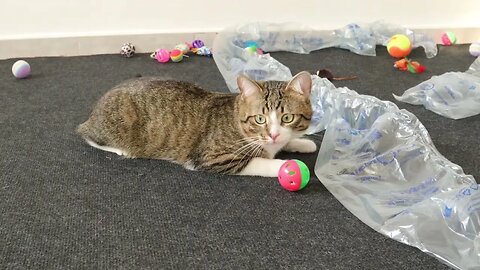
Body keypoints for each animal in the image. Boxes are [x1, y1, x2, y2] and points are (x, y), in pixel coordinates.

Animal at [77, 71, 316, 177]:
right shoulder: (214, 158)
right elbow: (259, 161)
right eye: (260, 119)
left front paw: (302, 142)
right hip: (117, 124)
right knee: (88, 136)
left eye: (287, 118)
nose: (273, 135)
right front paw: (287, 165)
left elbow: (288, 140)